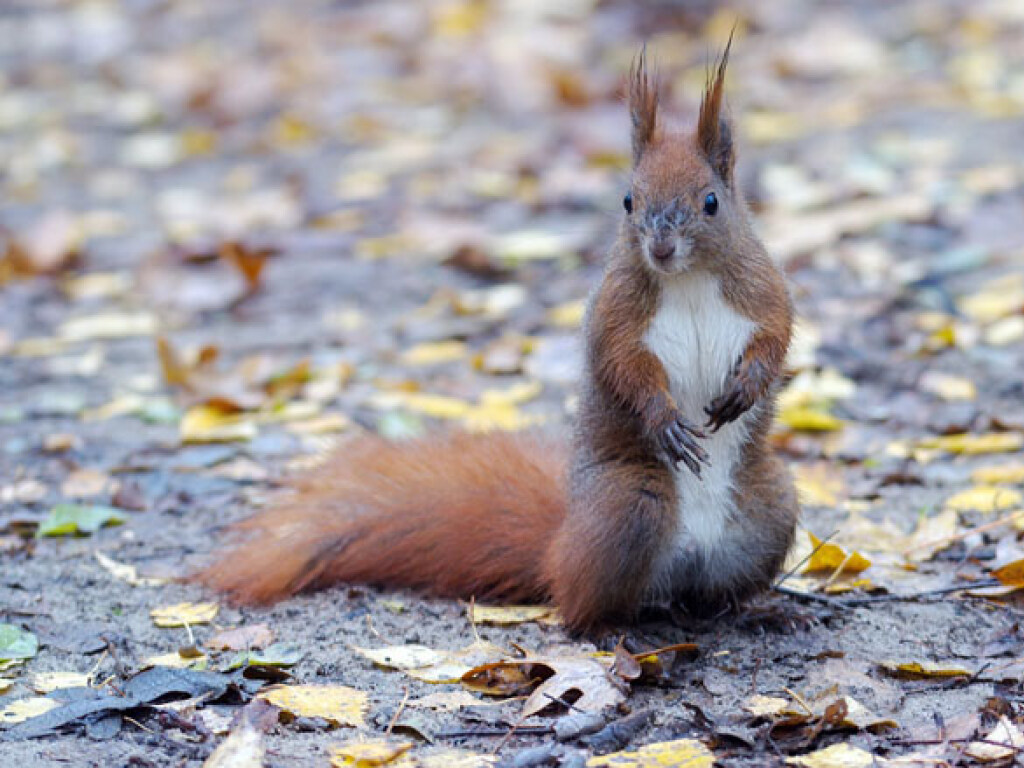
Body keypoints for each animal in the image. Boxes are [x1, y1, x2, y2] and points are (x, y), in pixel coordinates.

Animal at [193, 46, 798, 638]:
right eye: (629, 200)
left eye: (711, 202)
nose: (662, 248)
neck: (688, 280)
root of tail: (559, 542)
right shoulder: (616, 314)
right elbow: (623, 364)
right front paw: (664, 418)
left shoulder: (762, 291)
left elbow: (776, 336)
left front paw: (747, 387)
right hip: (628, 509)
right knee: (577, 604)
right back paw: (611, 628)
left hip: (773, 507)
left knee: (706, 596)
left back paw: (753, 611)